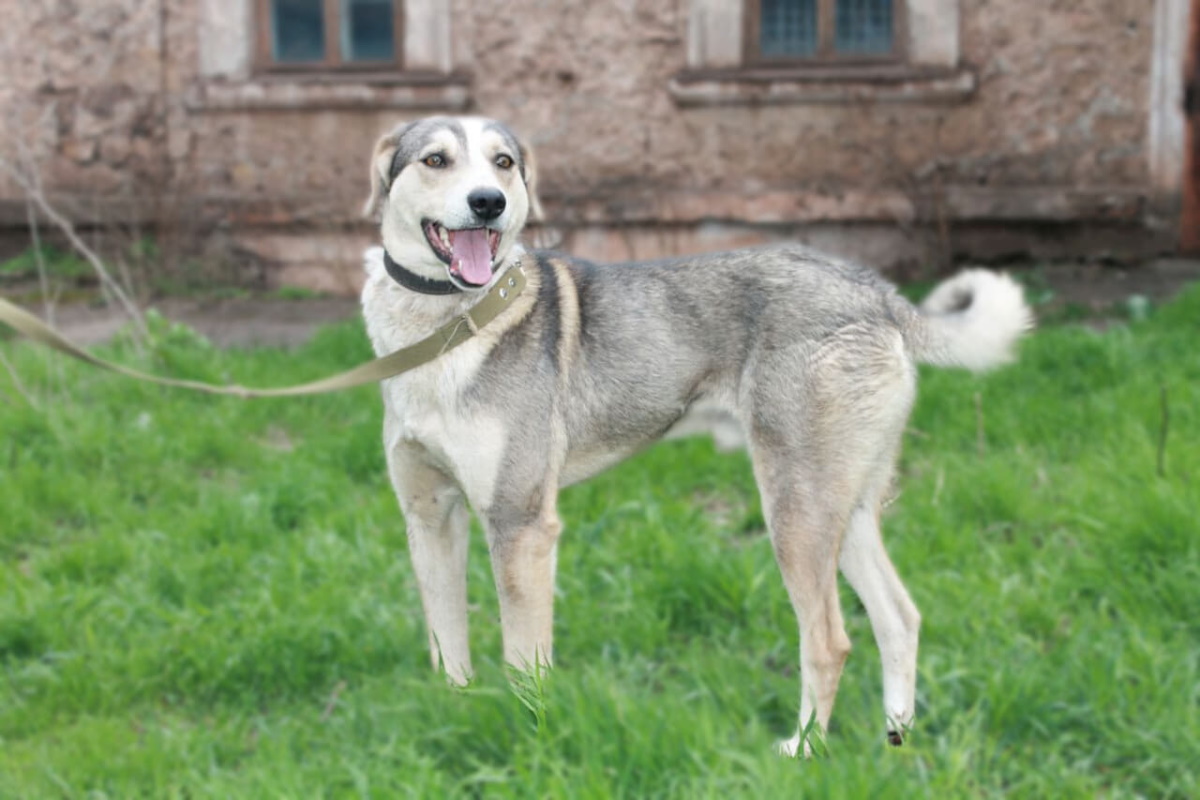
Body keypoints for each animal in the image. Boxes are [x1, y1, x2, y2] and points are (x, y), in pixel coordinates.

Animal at [355, 115, 1032, 753]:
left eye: (503, 163)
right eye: (435, 160)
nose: (488, 202)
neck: (445, 326)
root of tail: (878, 294)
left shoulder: (519, 524)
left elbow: (524, 665)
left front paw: (531, 743)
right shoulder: (430, 517)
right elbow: (448, 649)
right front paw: (456, 719)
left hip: (795, 511)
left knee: (831, 640)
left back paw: (802, 751)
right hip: (844, 506)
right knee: (899, 617)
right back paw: (896, 740)